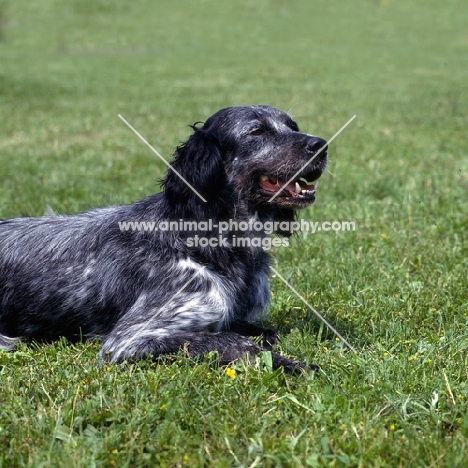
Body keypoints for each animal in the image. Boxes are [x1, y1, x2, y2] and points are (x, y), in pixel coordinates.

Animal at [0, 105, 328, 372]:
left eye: (293, 126)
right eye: (257, 131)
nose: (322, 145)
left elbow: (259, 331)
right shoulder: (128, 339)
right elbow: (235, 342)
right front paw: (294, 365)